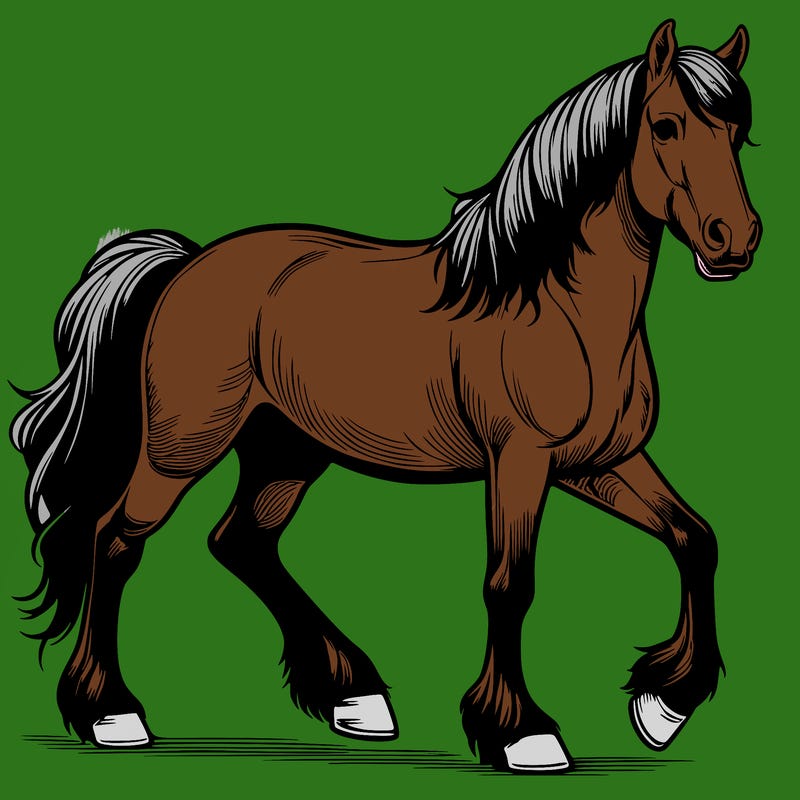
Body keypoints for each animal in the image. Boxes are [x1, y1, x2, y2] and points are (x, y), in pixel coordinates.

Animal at [10, 20, 760, 773]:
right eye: (665, 126)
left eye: (739, 131)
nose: (736, 240)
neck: (555, 305)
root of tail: (187, 265)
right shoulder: (520, 462)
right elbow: (509, 584)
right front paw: (522, 733)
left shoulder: (598, 463)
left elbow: (696, 539)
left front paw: (663, 705)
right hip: (181, 449)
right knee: (115, 540)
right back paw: (111, 714)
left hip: (286, 452)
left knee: (241, 542)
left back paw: (355, 695)